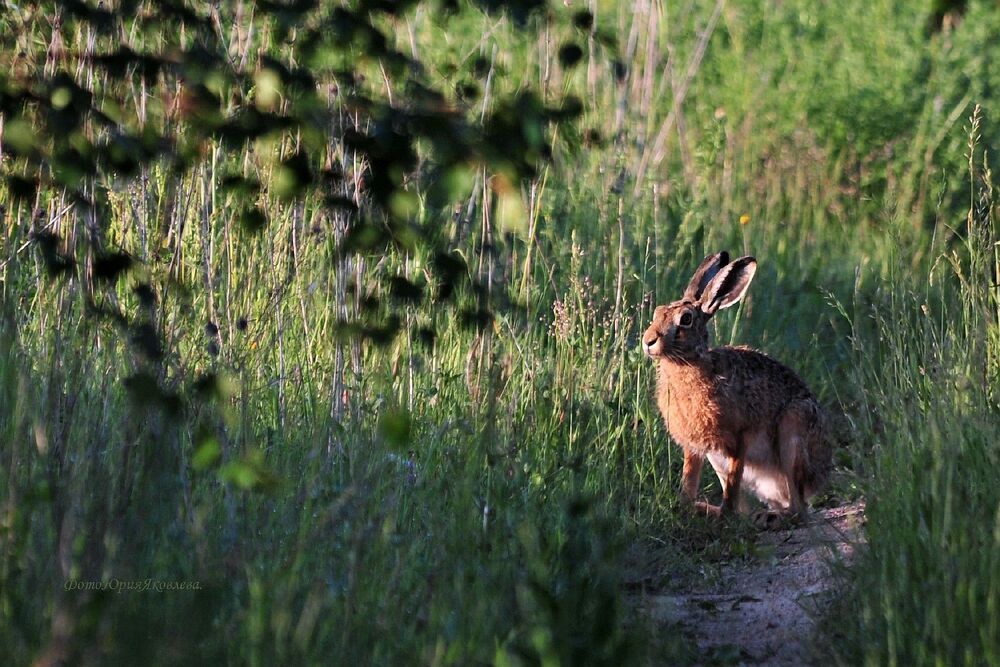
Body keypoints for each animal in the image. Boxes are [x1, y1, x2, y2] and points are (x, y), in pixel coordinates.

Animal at [642, 251, 832, 525]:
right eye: (657, 313)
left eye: (686, 320)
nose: (648, 341)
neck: (690, 363)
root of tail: (821, 476)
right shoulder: (696, 447)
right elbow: (689, 479)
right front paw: (684, 507)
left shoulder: (740, 437)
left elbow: (732, 484)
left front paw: (724, 516)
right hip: (719, 460)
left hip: (793, 431)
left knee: (799, 509)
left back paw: (768, 519)